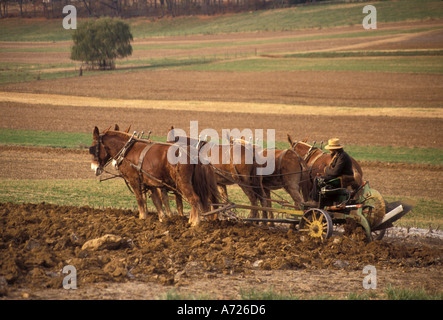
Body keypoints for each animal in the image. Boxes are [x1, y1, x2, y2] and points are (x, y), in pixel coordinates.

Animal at [90, 126, 220, 226]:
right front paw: (162, 218)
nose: (94, 168)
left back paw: (194, 223)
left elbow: (140, 199)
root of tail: (192, 152)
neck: (127, 151)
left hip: (183, 183)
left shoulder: (134, 180)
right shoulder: (150, 183)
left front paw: (142, 217)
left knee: (194, 199)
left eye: (92, 148)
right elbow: (156, 201)